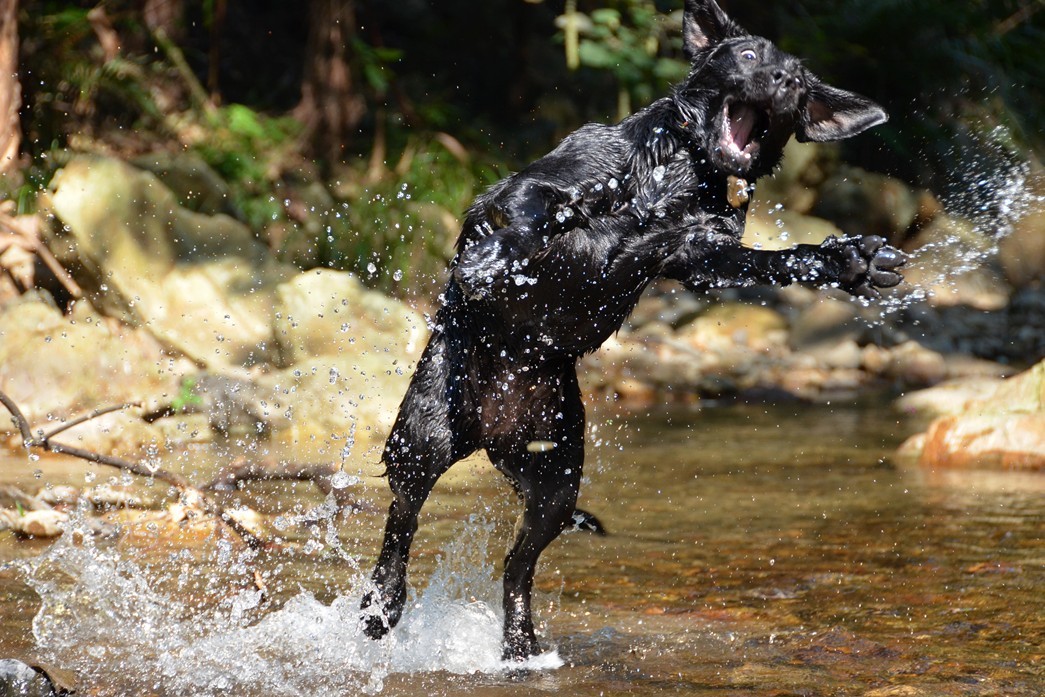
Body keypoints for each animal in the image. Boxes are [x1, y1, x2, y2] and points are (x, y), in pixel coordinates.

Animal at [363, 0, 902, 664]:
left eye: (799, 82)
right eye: (750, 55)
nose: (780, 81)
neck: (686, 171)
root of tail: (495, 431)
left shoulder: (702, 255)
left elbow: (776, 260)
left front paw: (850, 259)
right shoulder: (540, 185)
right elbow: (543, 210)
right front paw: (495, 258)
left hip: (556, 479)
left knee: (517, 567)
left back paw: (520, 649)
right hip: (424, 439)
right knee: (402, 523)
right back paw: (383, 603)